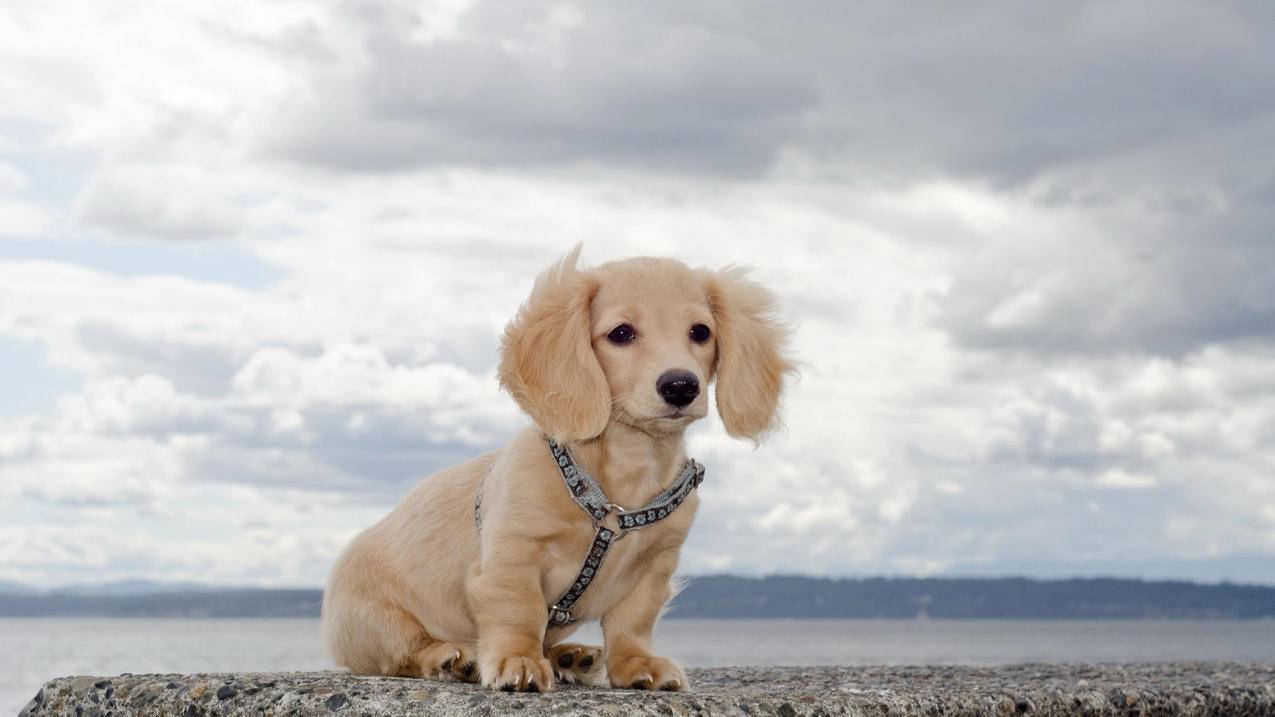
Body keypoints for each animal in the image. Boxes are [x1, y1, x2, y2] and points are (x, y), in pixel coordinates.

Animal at [321, 248, 785, 688]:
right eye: (621, 333)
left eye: (701, 332)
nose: (680, 386)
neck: (618, 486)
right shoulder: (513, 555)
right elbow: (520, 611)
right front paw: (518, 661)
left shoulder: (655, 565)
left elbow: (633, 622)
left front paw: (638, 664)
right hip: (378, 622)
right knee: (403, 653)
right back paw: (449, 658)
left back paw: (568, 656)